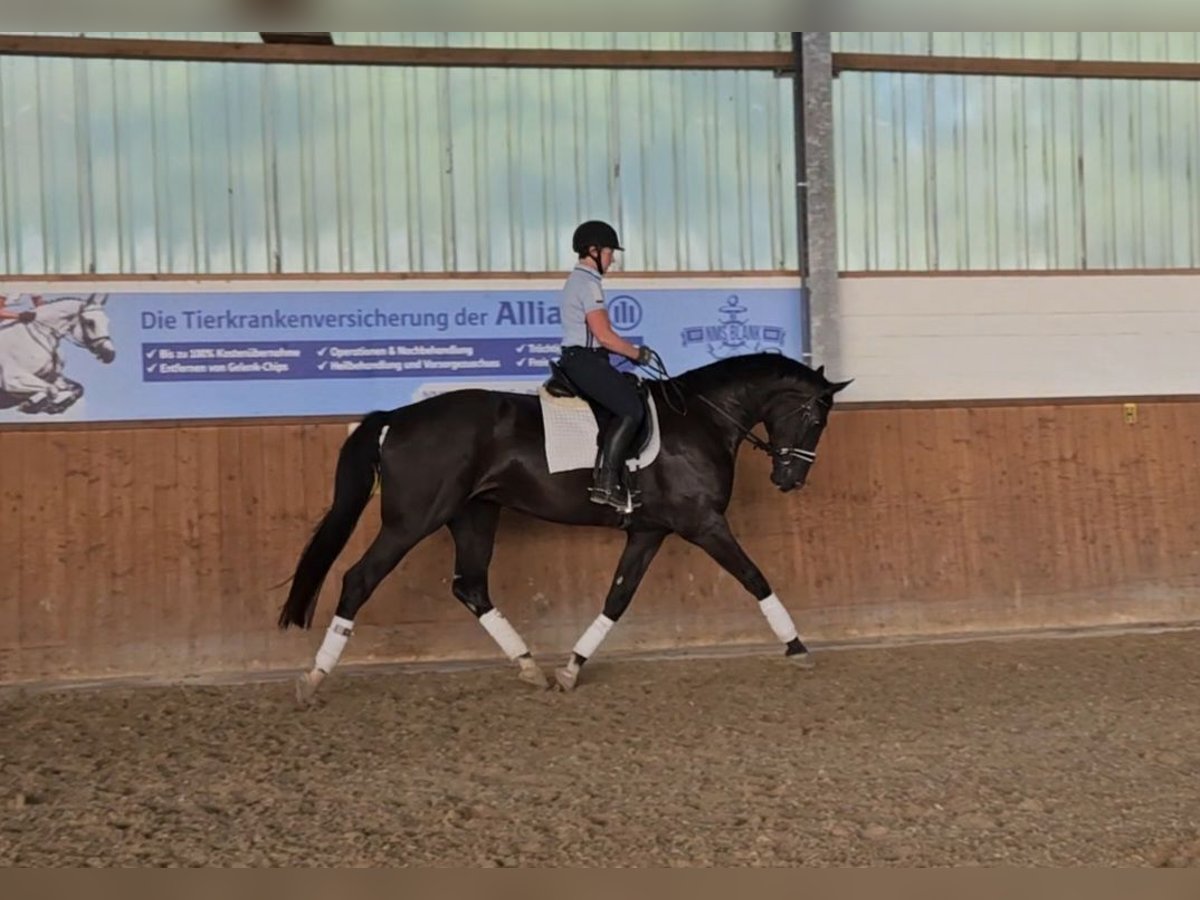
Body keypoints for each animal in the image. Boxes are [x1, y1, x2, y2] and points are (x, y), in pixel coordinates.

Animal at [276, 352, 849, 705]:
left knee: (471, 586)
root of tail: (396, 416)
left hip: (475, 514)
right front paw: (798, 648)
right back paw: (313, 678)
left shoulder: (648, 532)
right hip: (414, 519)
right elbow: (756, 579)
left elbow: (617, 598)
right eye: (815, 419)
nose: (790, 479)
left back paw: (528, 665)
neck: (701, 420)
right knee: (359, 579)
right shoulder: (704, 524)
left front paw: (572, 668)